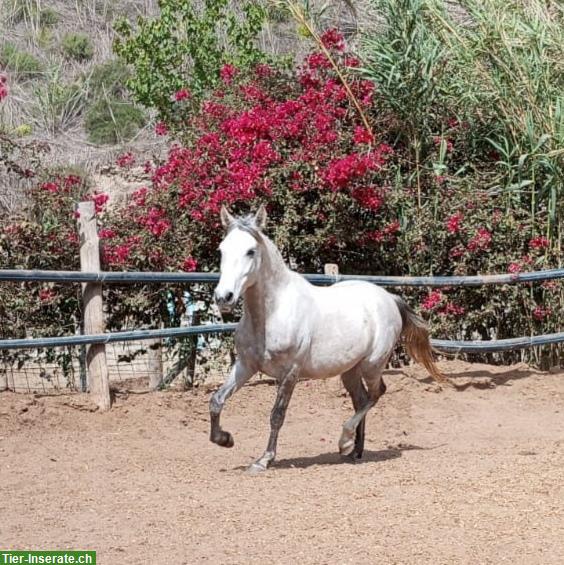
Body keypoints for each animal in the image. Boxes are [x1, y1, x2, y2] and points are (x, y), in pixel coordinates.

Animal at [209, 206, 442, 472]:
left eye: (250, 251)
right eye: (222, 249)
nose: (224, 297)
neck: (271, 314)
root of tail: (389, 298)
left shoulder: (290, 372)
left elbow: (277, 415)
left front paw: (264, 460)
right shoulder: (246, 365)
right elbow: (216, 400)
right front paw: (225, 439)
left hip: (372, 364)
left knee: (376, 394)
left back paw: (345, 442)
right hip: (350, 370)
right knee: (361, 399)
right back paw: (355, 451)